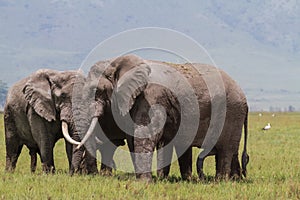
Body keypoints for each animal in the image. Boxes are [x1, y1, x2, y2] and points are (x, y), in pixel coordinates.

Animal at [77, 54, 248, 181]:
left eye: (96, 91)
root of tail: (244, 97)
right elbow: (133, 139)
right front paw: (145, 180)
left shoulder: (152, 98)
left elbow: (145, 135)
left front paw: (144, 183)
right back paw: (234, 179)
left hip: (232, 112)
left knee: (226, 149)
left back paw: (222, 181)